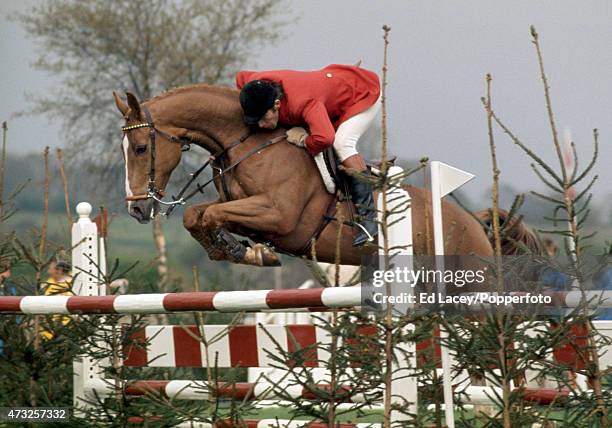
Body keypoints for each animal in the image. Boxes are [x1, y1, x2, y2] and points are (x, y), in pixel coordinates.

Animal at [115, 85, 498, 266]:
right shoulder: (242, 207)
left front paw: (241, 251)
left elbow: (210, 215)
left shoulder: (278, 215)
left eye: (140, 149)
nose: (136, 209)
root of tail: (476, 226)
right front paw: (244, 252)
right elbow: (198, 216)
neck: (249, 140)